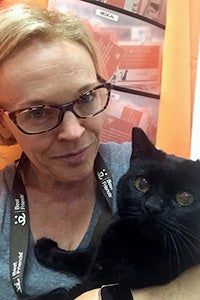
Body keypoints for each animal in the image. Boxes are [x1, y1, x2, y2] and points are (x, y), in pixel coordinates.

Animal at [27, 127, 200, 300]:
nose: (152, 206)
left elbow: (64, 293)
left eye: (185, 197)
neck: (131, 240)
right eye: (142, 183)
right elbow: (77, 256)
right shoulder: (98, 257)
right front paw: (46, 248)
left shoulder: (102, 280)